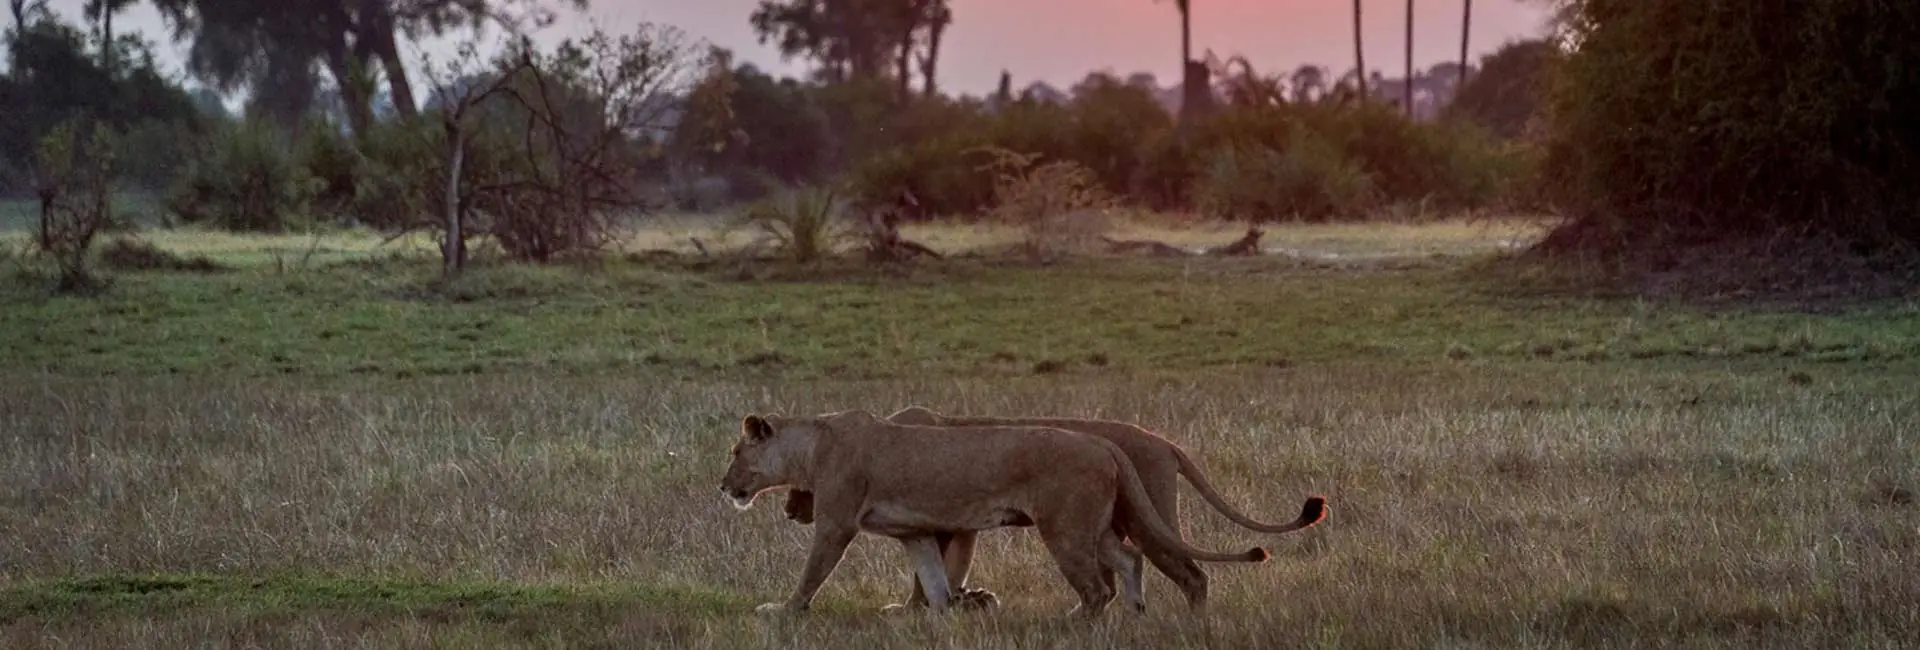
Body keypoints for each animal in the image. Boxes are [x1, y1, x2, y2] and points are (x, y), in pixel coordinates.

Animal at [783, 404, 1336, 613]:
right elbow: (942, 569)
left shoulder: (947, 521)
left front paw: (924, 606)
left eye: (799, 483)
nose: (789, 509)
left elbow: (934, 570)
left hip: (1145, 517)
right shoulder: (960, 523)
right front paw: (955, 602)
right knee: (1135, 570)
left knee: (1188, 573)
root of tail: (1164, 442)